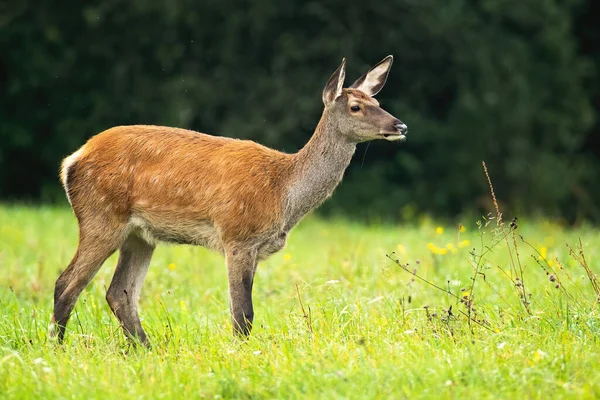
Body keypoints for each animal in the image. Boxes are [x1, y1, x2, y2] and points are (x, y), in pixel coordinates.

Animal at [50, 54, 408, 346]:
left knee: (119, 293)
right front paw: (240, 354)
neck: (283, 193)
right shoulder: (237, 236)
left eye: (377, 100)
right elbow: (243, 314)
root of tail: (72, 161)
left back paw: (145, 349)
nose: (400, 125)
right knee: (67, 283)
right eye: (355, 107)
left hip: (140, 235)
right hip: (101, 217)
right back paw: (58, 348)